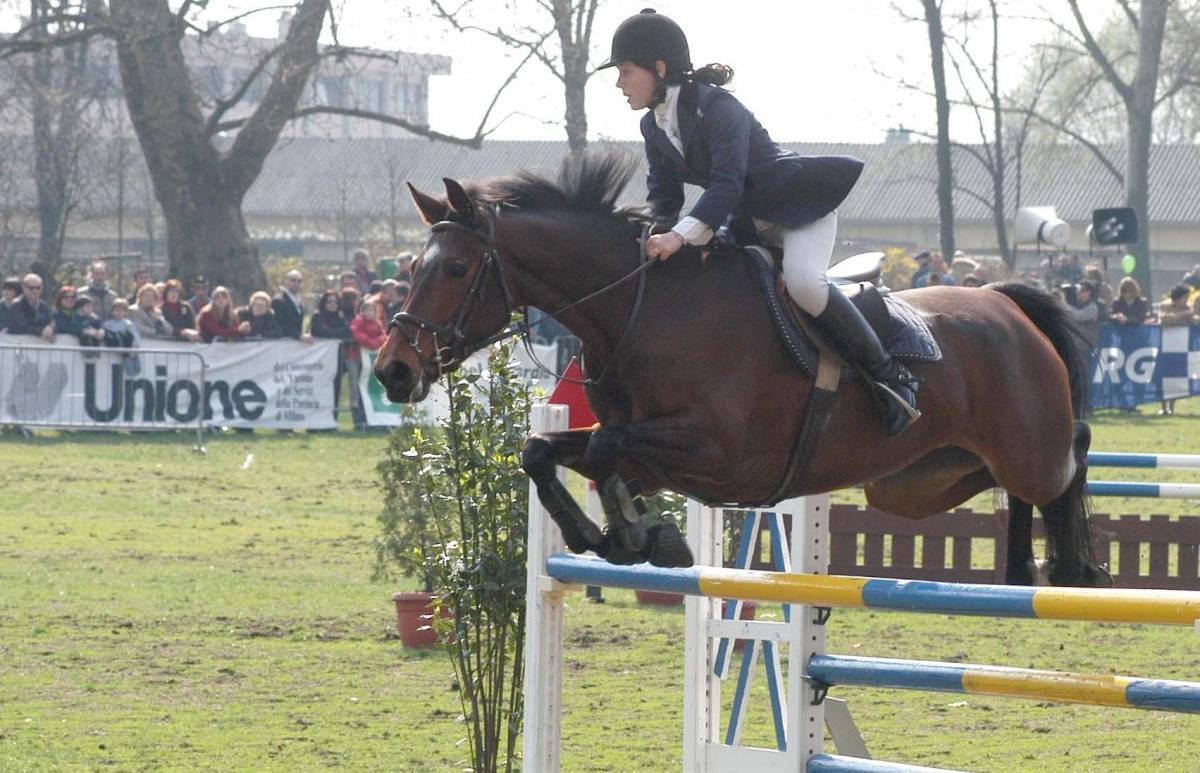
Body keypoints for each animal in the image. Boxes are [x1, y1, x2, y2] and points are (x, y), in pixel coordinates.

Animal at [379, 157, 1108, 588]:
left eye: (456, 269)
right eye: (412, 268)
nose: (393, 371)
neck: (639, 309)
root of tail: (1005, 301)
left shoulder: (716, 451)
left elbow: (608, 449)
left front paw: (635, 534)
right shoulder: (652, 451)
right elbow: (544, 450)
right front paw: (611, 534)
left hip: (1027, 449)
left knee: (1069, 457)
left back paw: (1076, 567)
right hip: (916, 482)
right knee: (1007, 487)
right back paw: (1024, 569)